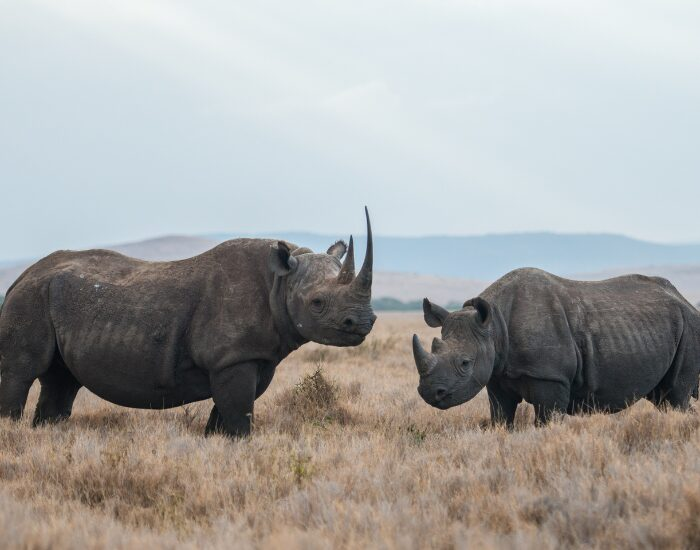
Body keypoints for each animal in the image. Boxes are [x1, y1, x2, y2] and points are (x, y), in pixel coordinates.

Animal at [0, 209, 376, 437]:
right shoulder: (231, 359)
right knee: (21, 372)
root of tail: (20, 277)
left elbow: (225, 418)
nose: (363, 322)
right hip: (30, 298)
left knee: (61, 380)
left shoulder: (252, 357)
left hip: (48, 296)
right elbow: (239, 418)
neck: (280, 282)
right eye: (317, 303)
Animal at [413, 268, 700, 426]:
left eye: (465, 363)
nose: (429, 392)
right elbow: (501, 417)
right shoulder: (496, 375)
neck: (495, 327)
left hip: (690, 326)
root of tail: (686, 302)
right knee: (664, 398)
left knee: (676, 395)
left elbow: (546, 420)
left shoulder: (551, 377)